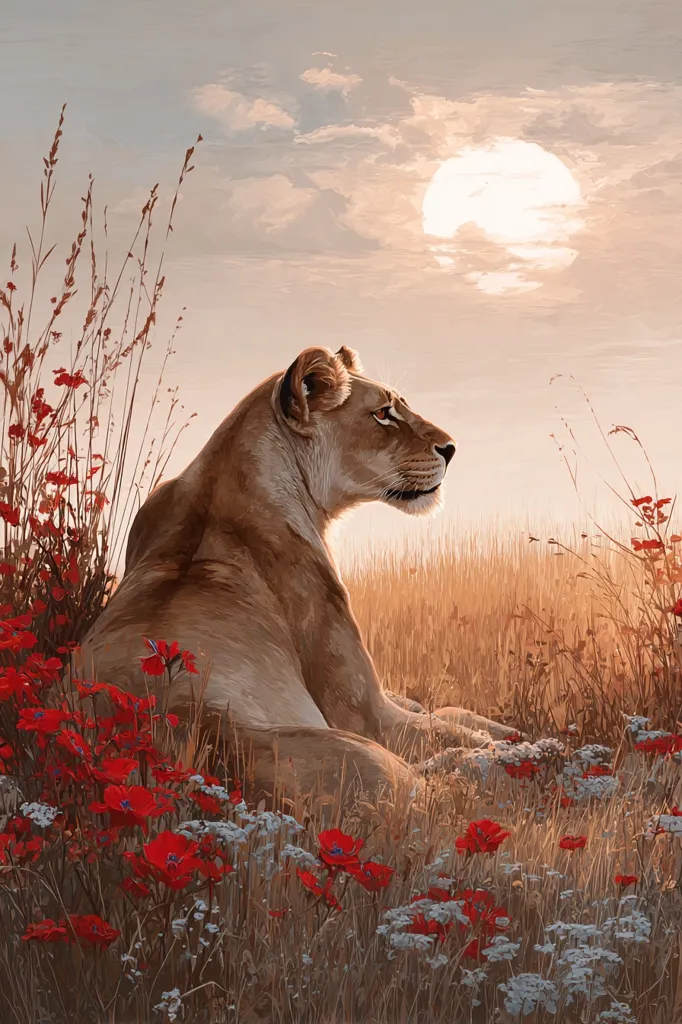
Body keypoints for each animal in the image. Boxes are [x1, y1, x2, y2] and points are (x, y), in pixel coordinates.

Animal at [75, 346, 516, 813]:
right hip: (375, 763)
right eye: (383, 413)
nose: (451, 448)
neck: (217, 484)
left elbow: (436, 707)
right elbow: (447, 725)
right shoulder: (365, 714)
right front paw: (510, 740)